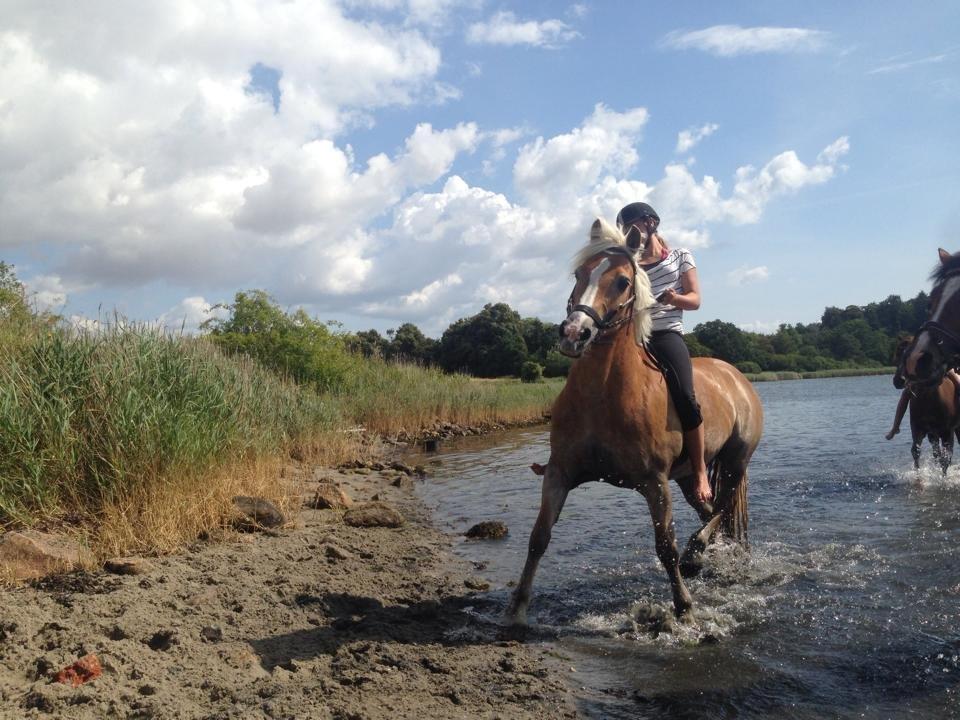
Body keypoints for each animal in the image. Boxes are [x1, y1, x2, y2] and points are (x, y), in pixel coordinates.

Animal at [502, 219, 764, 624]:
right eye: (579, 273)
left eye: (623, 281)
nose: (574, 333)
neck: (602, 395)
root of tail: (737, 377)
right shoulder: (559, 472)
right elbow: (538, 537)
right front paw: (517, 609)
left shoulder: (655, 483)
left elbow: (665, 546)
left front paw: (684, 609)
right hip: (688, 478)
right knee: (710, 513)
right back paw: (705, 556)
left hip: (735, 461)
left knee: (719, 509)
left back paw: (696, 554)